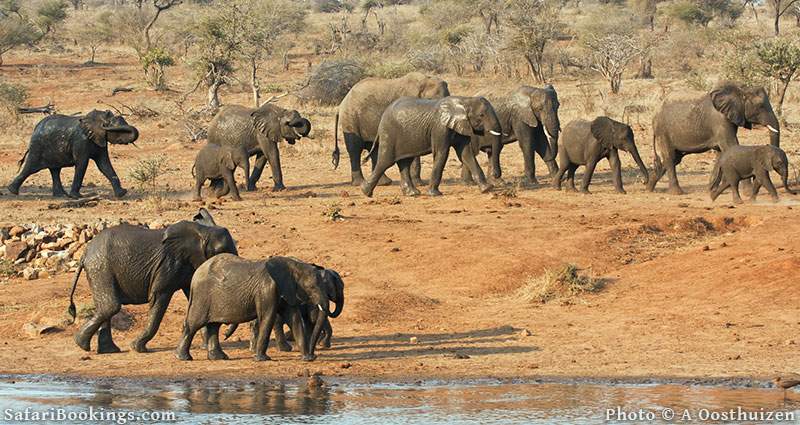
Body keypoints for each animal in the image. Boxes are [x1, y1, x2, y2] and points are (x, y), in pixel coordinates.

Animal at [7, 107, 139, 197]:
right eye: (119, 130)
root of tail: (36, 128)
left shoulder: (99, 139)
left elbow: (104, 164)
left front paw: (122, 193)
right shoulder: (81, 140)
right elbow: (82, 164)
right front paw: (76, 197)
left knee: (55, 170)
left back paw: (61, 195)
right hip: (37, 147)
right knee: (31, 167)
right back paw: (12, 191)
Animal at [67, 207, 238, 352]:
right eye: (220, 251)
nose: (226, 335)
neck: (202, 231)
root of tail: (85, 252)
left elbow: (194, 298)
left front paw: (205, 346)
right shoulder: (169, 263)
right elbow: (158, 297)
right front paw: (137, 348)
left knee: (105, 306)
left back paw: (107, 350)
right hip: (101, 267)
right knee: (111, 306)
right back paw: (81, 344)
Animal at [176, 255, 344, 362]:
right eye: (311, 287)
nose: (314, 354)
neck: (294, 265)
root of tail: (195, 275)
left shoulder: (287, 290)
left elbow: (294, 319)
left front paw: (308, 359)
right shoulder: (267, 289)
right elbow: (268, 317)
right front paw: (262, 359)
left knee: (213, 326)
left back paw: (219, 358)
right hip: (202, 296)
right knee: (193, 324)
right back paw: (183, 358)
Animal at [360, 95, 500, 196]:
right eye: (481, 115)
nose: (495, 176)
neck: (465, 100)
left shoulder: (461, 126)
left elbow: (466, 154)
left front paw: (487, 189)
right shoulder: (440, 127)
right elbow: (442, 153)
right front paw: (435, 194)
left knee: (404, 162)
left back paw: (412, 193)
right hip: (389, 133)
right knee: (386, 161)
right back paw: (365, 192)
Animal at [648, 81, 780, 194]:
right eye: (760, 106)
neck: (740, 89)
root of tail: (655, 112)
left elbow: (721, 153)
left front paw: (711, 190)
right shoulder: (720, 121)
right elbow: (732, 146)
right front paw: (747, 193)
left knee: (675, 158)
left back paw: (649, 187)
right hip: (663, 131)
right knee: (670, 157)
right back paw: (676, 192)